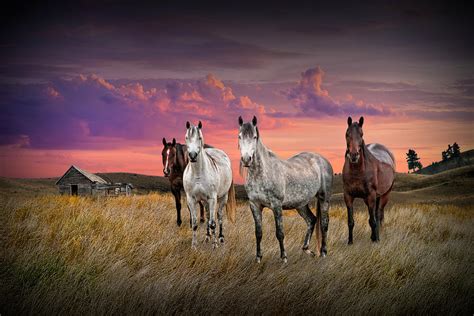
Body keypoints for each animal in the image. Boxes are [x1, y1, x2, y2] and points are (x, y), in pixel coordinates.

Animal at [182, 121, 236, 249]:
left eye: (200, 137)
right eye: (186, 137)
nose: (192, 155)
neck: (197, 173)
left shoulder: (212, 198)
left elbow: (213, 223)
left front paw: (215, 245)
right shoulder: (191, 199)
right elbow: (195, 223)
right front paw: (194, 246)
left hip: (223, 197)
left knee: (219, 216)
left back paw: (220, 238)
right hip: (205, 201)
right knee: (207, 215)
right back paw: (207, 237)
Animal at [237, 115, 334, 262]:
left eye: (254, 137)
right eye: (239, 136)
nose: (246, 160)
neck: (262, 173)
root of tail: (322, 160)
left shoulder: (276, 205)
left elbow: (280, 232)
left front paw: (284, 257)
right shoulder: (254, 205)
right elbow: (258, 233)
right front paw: (258, 258)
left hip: (324, 198)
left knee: (324, 224)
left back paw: (323, 252)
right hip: (301, 204)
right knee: (311, 220)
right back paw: (307, 250)